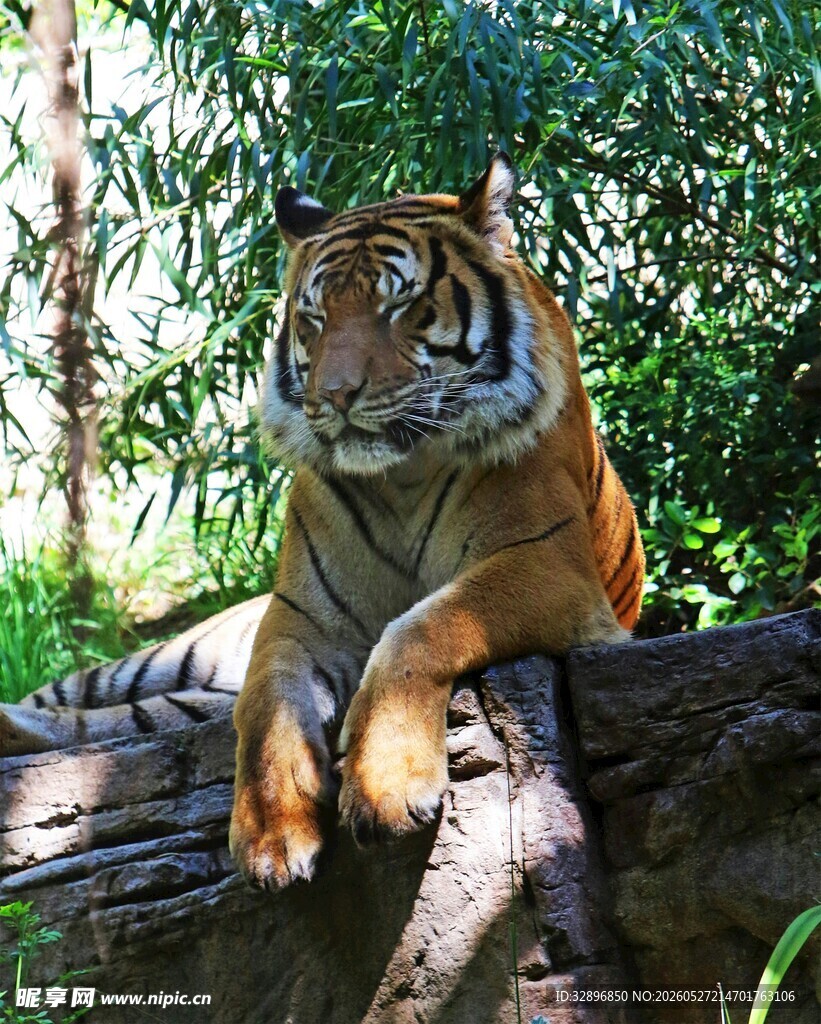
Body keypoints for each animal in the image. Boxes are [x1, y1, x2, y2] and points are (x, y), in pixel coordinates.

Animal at [0, 153, 645, 895]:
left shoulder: (546, 566)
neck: (403, 472)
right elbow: (267, 703)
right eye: (313, 316)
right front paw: (272, 837)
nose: (335, 395)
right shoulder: (299, 615)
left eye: (399, 305)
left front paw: (387, 786)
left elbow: (419, 626)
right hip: (162, 658)